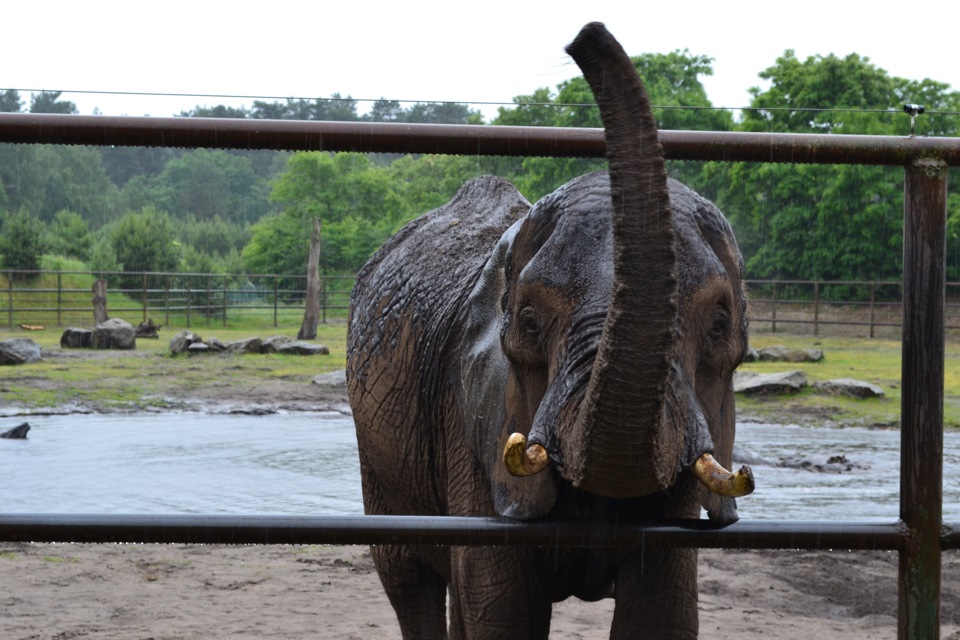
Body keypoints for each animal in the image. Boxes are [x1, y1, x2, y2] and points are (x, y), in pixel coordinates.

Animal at [344, 21, 752, 640]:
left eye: (720, 325)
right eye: (531, 323)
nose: (585, 35)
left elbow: (662, 610)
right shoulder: (472, 420)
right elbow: (503, 612)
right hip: (382, 460)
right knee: (410, 581)